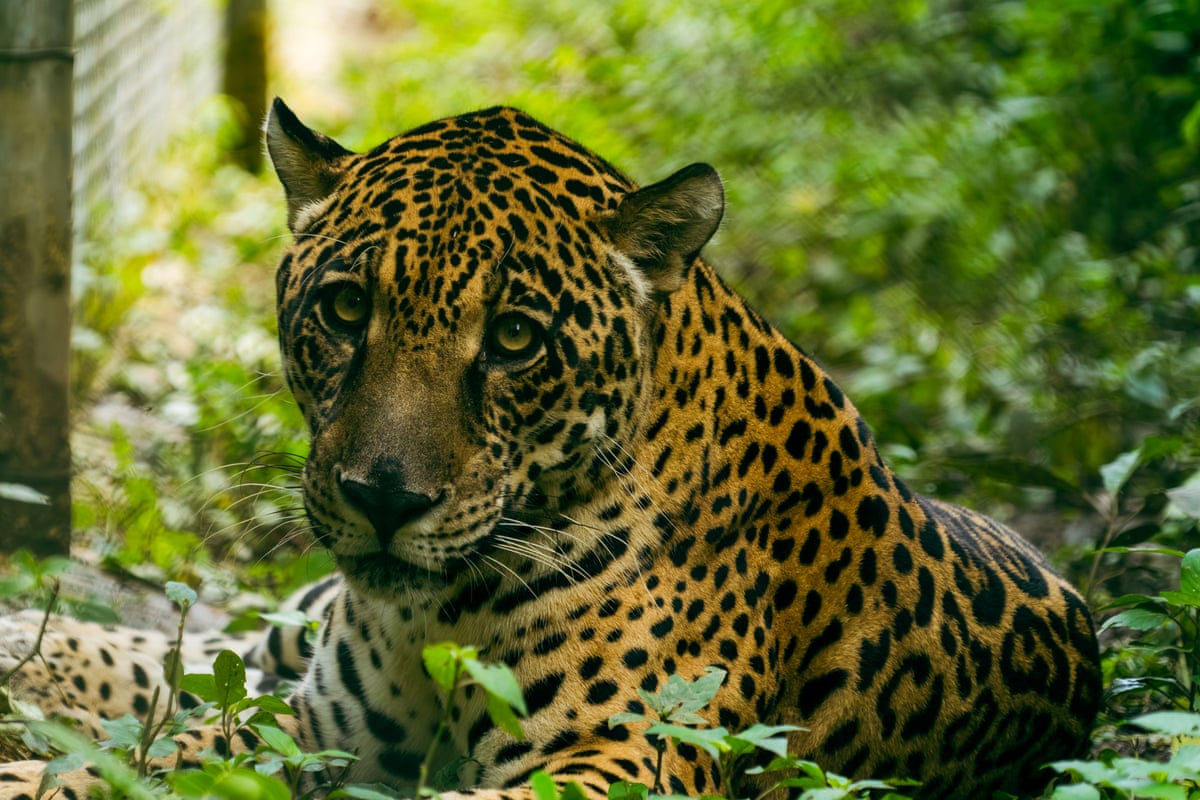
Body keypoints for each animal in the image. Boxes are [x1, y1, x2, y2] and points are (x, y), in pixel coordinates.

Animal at [0, 99, 1102, 800]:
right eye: (347, 310)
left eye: (516, 339)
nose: (382, 499)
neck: (436, 614)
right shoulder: (318, 730)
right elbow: (160, 752)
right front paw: (46, 771)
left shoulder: (630, 753)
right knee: (230, 639)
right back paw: (28, 645)